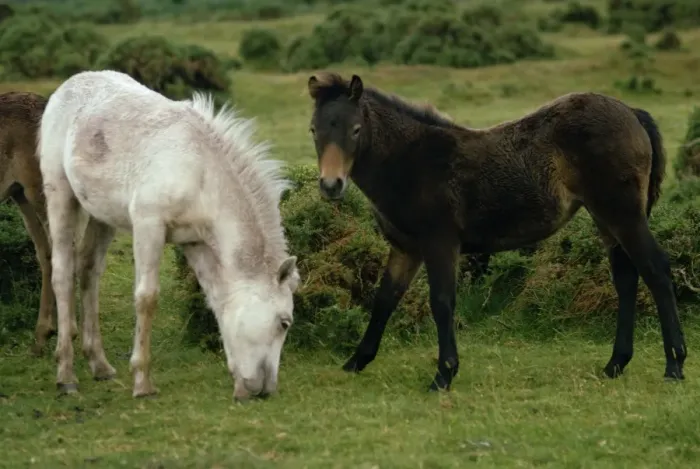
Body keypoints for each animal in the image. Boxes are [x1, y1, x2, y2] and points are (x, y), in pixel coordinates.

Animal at [38, 70, 300, 400]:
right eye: (284, 323)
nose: (265, 389)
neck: (200, 172)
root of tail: (68, 85)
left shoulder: (195, 243)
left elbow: (218, 301)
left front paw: (238, 383)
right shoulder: (149, 226)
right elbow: (146, 298)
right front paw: (142, 382)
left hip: (102, 215)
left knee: (88, 271)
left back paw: (99, 364)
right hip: (60, 195)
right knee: (62, 274)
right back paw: (66, 374)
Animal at [305, 71, 686, 391]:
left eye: (355, 129)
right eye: (313, 130)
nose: (331, 185)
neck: (410, 161)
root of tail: (631, 112)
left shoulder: (440, 242)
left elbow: (441, 301)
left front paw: (444, 375)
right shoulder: (406, 248)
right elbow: (385, 299)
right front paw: (356, 361)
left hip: (623, 214)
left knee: (655, 270)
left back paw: (675, 365)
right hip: (606, 219)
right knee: (626, 278)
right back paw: (615, 364)